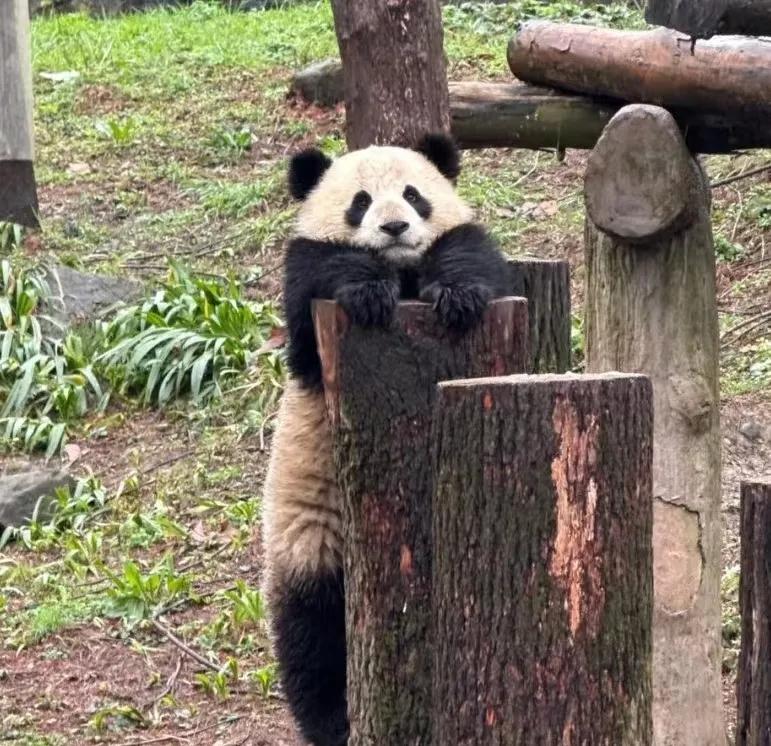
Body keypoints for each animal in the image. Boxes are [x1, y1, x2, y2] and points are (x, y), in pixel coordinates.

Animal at [262, 134, 510, 744]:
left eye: (413, 194)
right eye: (360, 202)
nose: (394, 227)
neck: (402, 274)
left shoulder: (466, 244)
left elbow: (473, 259)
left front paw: (458, 296)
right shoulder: (306, 306)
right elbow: (318, 281)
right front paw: (368, 291)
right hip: (308, 541)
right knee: (312, 639)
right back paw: (331, 722)